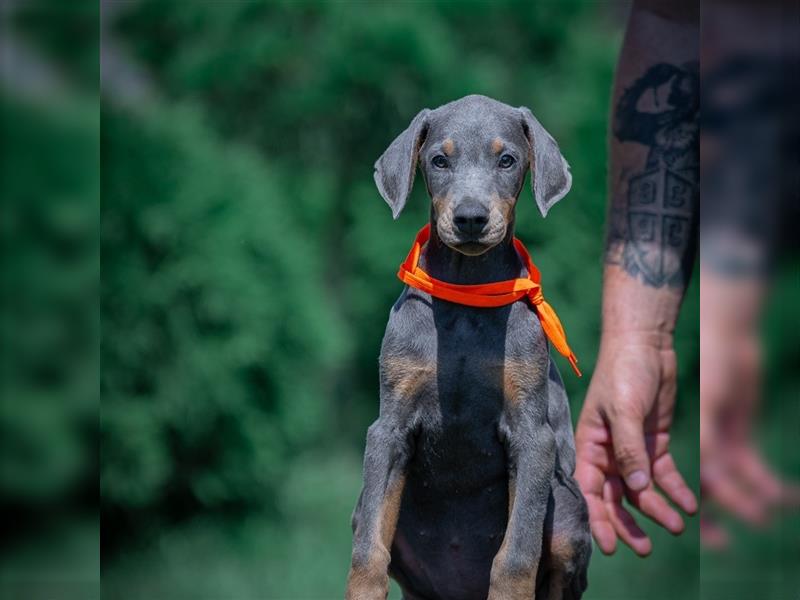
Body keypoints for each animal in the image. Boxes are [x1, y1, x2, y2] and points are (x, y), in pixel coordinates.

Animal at [346, 95, 592, 600]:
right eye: (439, 160)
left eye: (507, 160)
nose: (471, 218)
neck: (466, 292)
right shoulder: (390, 426)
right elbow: (367, 552)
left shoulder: (532, 433)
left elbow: (515, 556)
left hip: (566, 509)